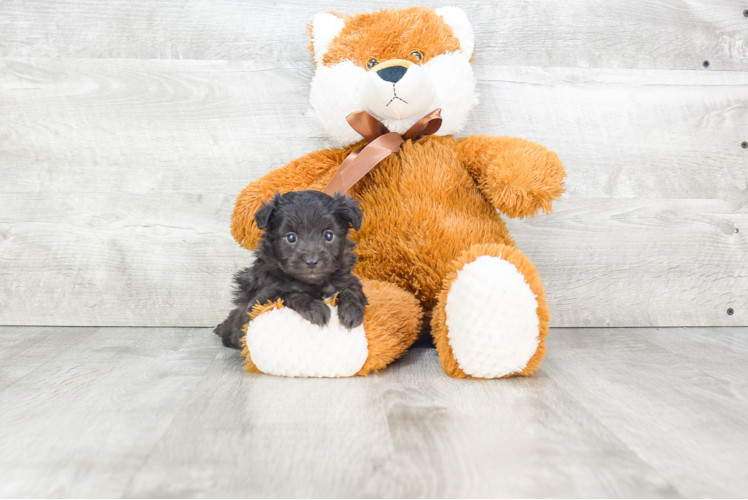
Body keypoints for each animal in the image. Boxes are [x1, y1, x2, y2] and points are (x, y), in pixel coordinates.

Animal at [213, 189, 368, 350]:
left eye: (328, 235)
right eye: (291, 237)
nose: (311, 262)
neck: (314, 283)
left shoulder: (346, 279)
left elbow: (352, 289)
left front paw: (352, 311)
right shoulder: (260, 299)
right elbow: (288, 293)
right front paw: (315, 308)